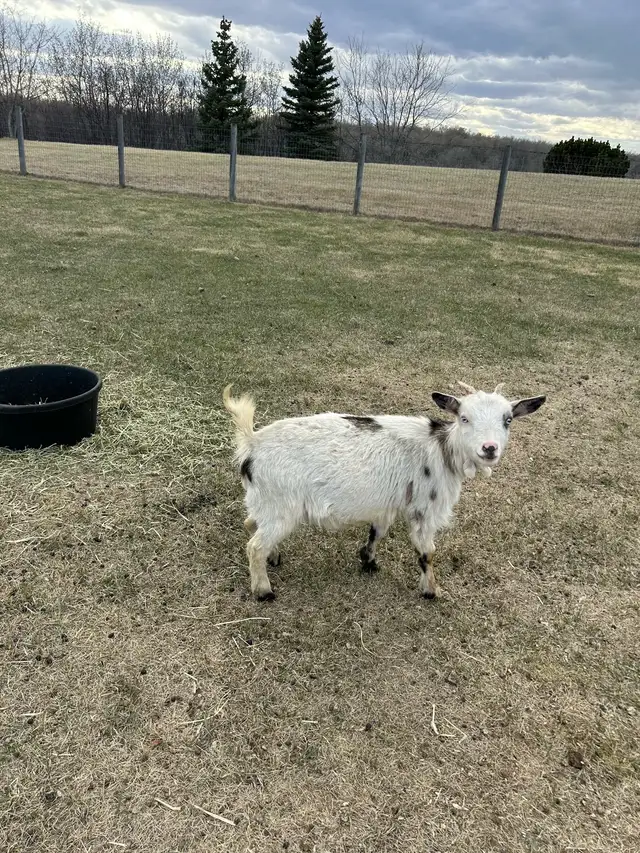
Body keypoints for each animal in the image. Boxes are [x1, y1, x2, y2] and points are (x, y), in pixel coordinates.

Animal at [223, 382, 546, 601]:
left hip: (265, 502)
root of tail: (251, 443)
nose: (489, 448)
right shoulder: (424, 509)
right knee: (255, 546)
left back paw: (274, 558)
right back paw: (264, 591)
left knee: (250, 523)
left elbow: (377, 532)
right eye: (464, 418)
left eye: (508, 420)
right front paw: (431, 591)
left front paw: (368, 560)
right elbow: (427, 553)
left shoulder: (387, 504)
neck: (441, 449)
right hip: (282, 507)